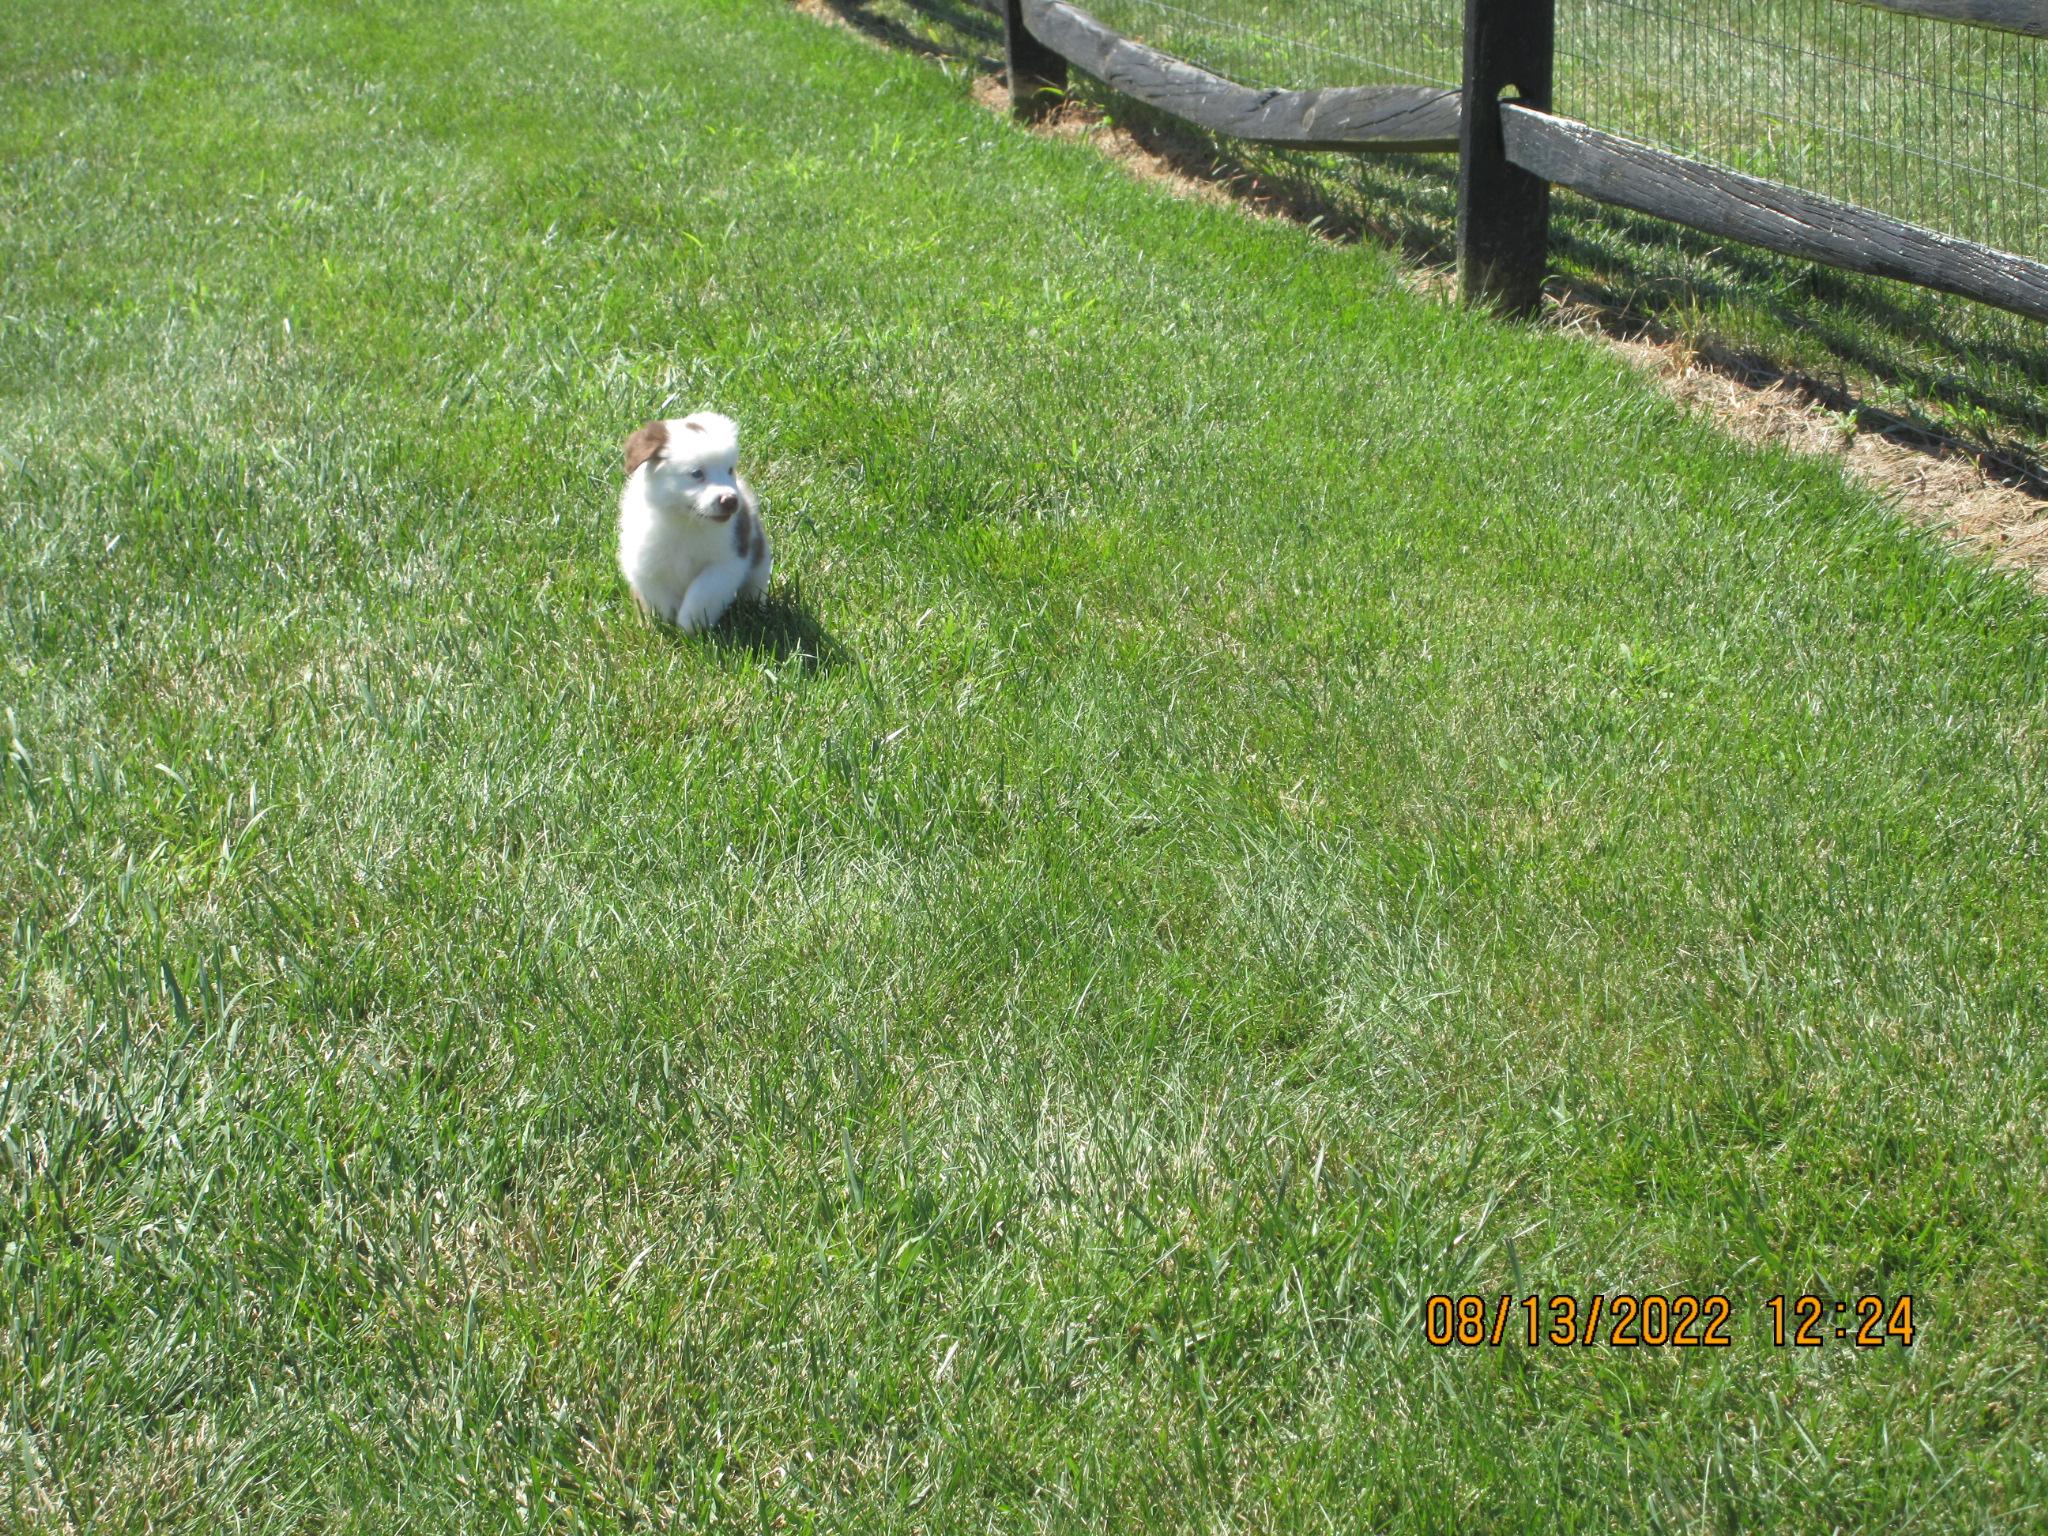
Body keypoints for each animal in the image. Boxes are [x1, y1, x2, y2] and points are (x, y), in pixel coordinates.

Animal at [617, 412, 771, 631]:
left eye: (729, 470)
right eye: (697, 473)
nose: (731, 501)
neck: (685, 523)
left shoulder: (727, 561)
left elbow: (703, 592)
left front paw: (690, 625)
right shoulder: (644, 564)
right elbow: (660, 597)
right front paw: (666, 622)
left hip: (759, 562)